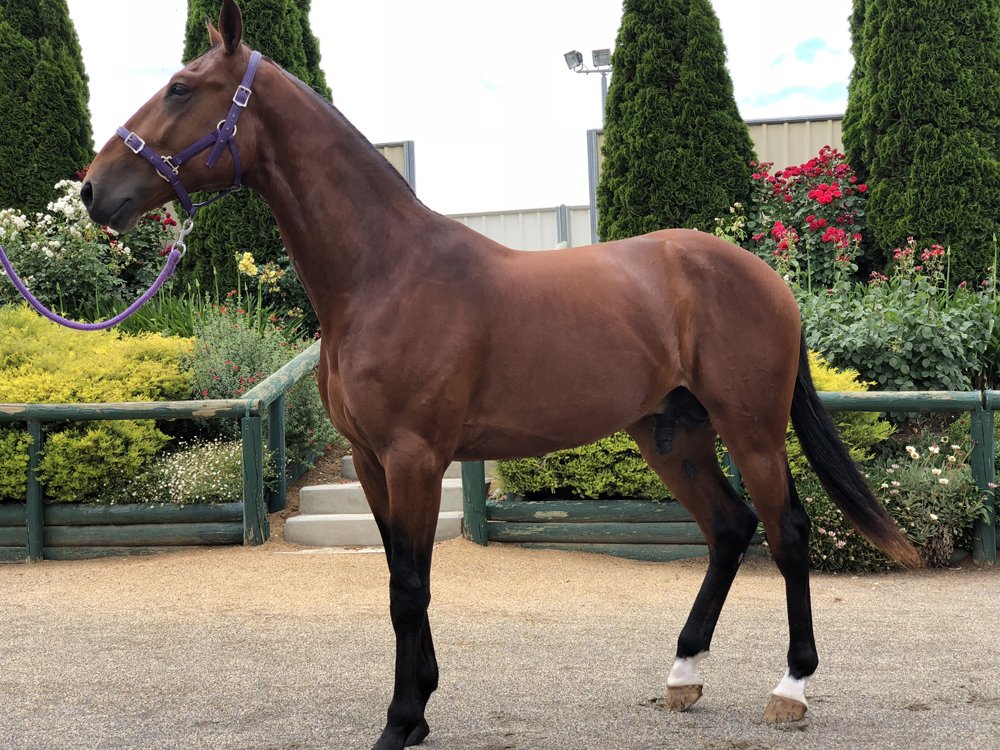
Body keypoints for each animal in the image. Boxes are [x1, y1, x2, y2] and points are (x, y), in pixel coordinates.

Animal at [81, 2, 920, 748]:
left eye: (181, 88)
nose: (93, 190)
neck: (383, 272)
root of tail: (767, 277)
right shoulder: (370, 461)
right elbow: (398, 581)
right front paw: (418, 709)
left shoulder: (415, 457)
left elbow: (410, 587)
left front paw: (400, 722)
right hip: (671, 432)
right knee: (729, 528)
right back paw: (683, 674)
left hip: (751, 430)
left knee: (786, 531)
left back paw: (792, 688)